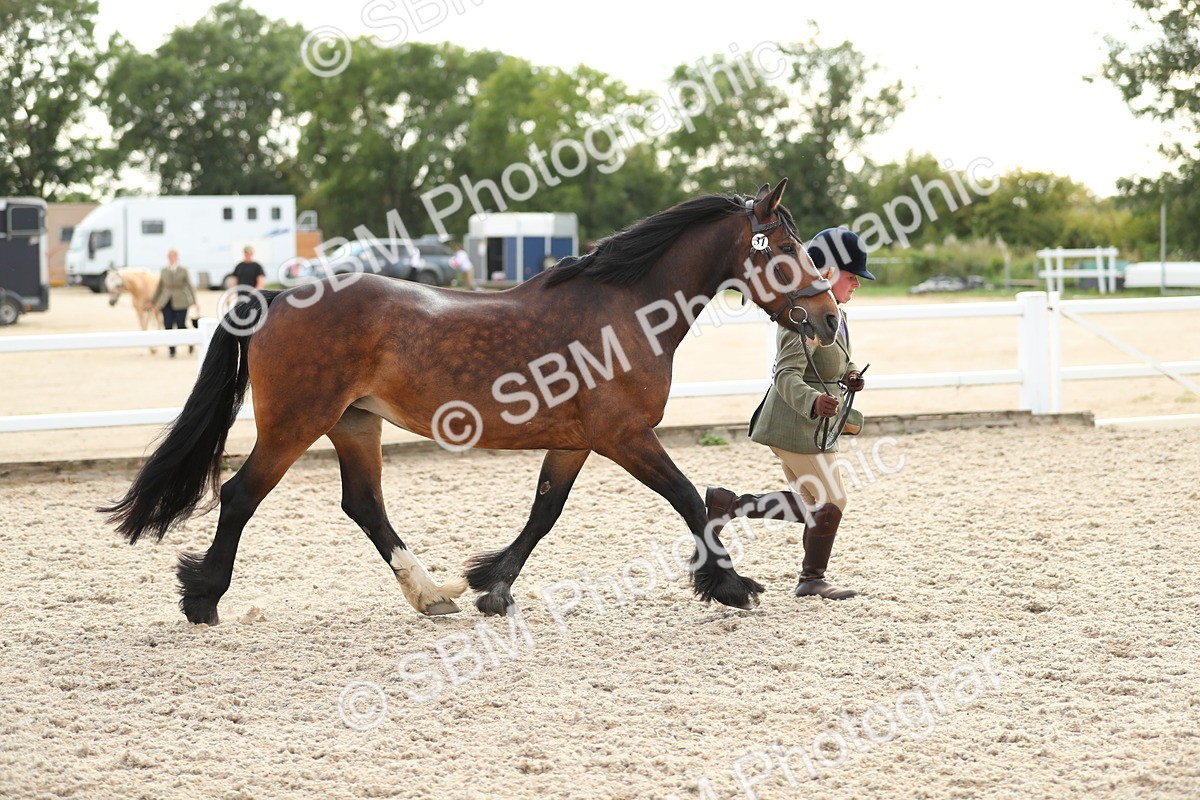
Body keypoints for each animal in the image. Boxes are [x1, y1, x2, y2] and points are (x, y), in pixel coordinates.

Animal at [101, 180, 841, 625]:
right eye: (785, 247)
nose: (829, 318)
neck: (624, 309)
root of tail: (278, 297)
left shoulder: (576, 442)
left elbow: (544, 512)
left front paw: (491, 585)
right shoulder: (625, 437)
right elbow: (689, 500)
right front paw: (732, 585)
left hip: (354, 425)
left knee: (363, 505)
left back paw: (432, 595)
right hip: (294, 425)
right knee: (240, 496)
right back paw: (203, 599)